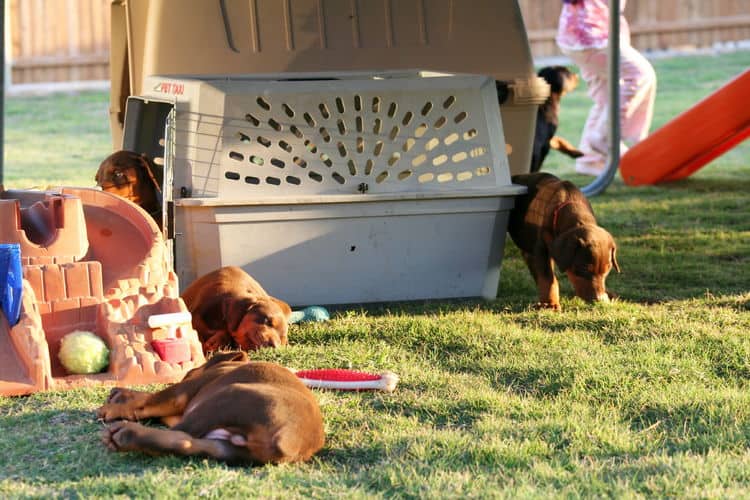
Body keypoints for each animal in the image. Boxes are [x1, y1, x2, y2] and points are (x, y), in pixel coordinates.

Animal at [97, 352, 326, 464]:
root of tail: (288, 440)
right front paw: (120, 394)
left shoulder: (185, 390)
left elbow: (154, 398)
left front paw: (113, 406)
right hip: (226, 449)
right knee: (183, 440)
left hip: (227, 396)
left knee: (181, 431)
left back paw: (125, 432)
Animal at [512, 174, 624, 310]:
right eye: (584, 268)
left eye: (607, 270)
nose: (599, 300)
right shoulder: (541, 248)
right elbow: (547, 278)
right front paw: (550, 303)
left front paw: (608, 294)